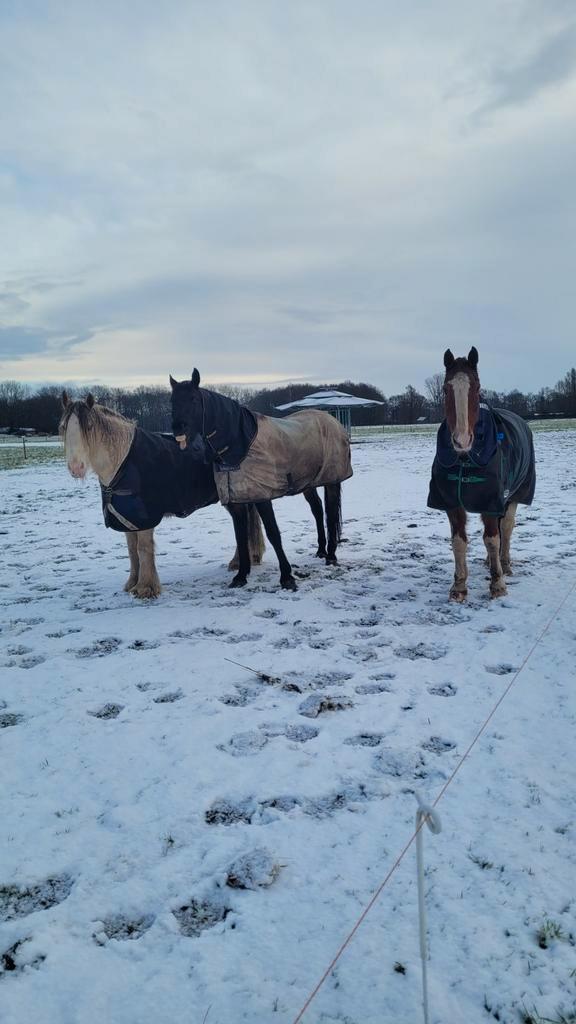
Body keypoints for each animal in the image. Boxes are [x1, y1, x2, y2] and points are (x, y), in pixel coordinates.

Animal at [59, 394, 330, 597]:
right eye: (62, 428)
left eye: (89, 427)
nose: (76, 468)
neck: (124, 461)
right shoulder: (129, 518)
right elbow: (132, 550)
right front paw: (132, 584)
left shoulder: (145, 518)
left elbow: (143, 549)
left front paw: (146, 588)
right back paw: (242, 561)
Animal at [169, 369, 353, 591]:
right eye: (172, 401)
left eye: (193, 399)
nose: (178, 430)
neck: (239, 444)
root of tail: (333, 421)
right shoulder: (237, 499)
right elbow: (241, 536)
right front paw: (241, 575)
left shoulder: (262, 497)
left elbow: (273, 533)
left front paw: (287, 577)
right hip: (308, 483)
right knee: (317, 510)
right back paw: (321, 550)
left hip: (332, 480)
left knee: (331, 513)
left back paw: (331, 555)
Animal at [427, 347, 536, 601]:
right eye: (445, 389)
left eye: (476, 388)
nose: (461, 440)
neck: (465, 459)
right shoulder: (452, 503)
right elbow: (459, 542)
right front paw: (458, 587)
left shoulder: (490, 501)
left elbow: (492, 539)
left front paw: (498, 585)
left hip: (514, 496)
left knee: (506, 528)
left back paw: (504, 564)